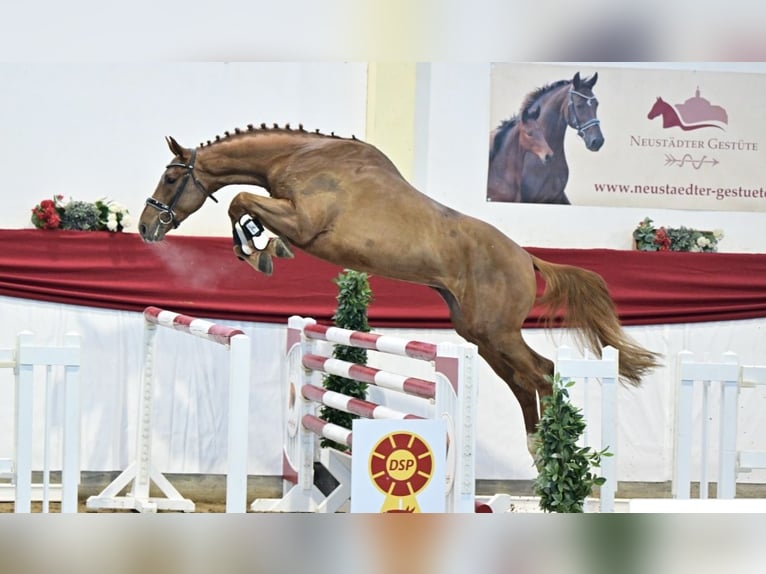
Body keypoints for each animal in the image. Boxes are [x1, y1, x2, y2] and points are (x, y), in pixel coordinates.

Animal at [136, 124, 660, 456]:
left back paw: (558, 453)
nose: (144, 227)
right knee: (523, 380)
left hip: (498, 333)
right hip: (480, 334)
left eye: (170, 176)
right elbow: (244, 204)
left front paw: (260, 252)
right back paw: (538, 450)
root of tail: (525, 257)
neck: (300, 157)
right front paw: (262, 247)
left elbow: (242, 202)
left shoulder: (303, 222)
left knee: (544, 374)